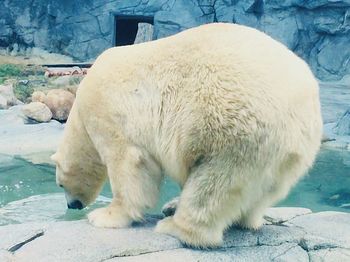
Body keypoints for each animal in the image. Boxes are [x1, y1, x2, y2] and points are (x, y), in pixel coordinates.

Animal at [52, 22, 322, 248]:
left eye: (60, 183)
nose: (72, 205)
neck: (80, 108)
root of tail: (304, 105)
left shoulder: (109, 113)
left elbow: (128, 164)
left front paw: (104, 216)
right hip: (285, 155)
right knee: (258, 193)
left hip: (233, 127)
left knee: (214, 184)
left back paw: (175, 225)